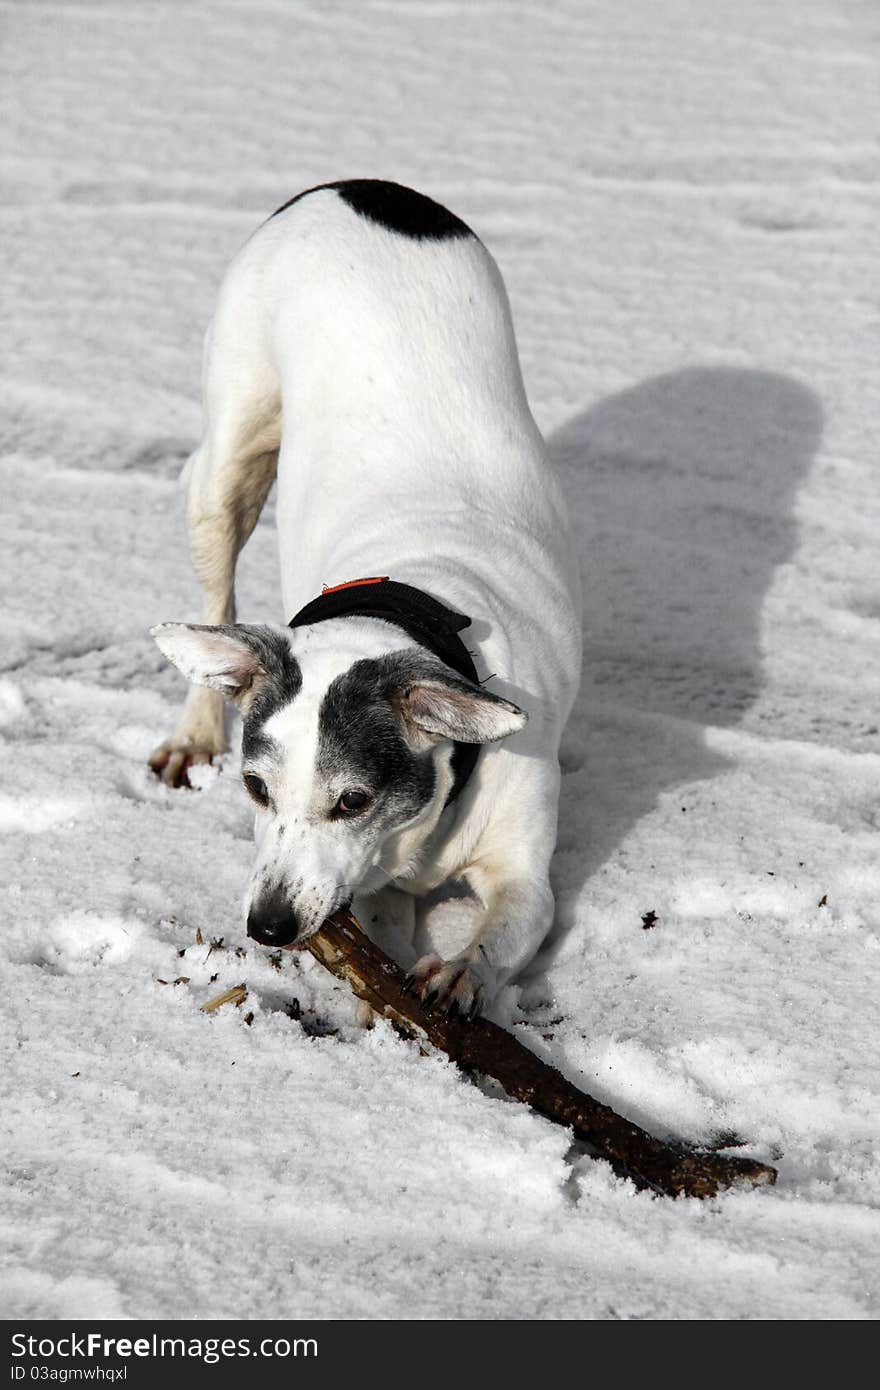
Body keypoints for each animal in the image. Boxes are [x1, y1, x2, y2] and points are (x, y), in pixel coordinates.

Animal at [148, 179, 581, 1017]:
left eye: (351, 802)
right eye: (255, 788)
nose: (270, 926)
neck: (419, 596)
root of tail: (359, 186)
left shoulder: (524, 869)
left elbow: (509, 921)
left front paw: (461, 971)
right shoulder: (376, 888)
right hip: (230, 455)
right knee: (215, 591)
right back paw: (194, 732)